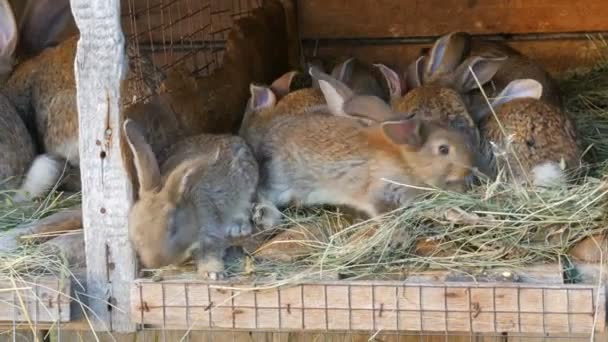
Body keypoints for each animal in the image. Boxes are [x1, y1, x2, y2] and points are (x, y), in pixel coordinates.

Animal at [122, 119, 258, 280]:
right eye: (136, 234)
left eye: (173, 228)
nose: (155, 262)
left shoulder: (209, 227)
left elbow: (210, 251)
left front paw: (213, 273)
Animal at [252, 79, 476, 218]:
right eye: (444, 149)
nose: (467, 169)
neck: (406, 161)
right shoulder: (378, 189)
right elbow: (377, 207)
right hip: (281, 181)